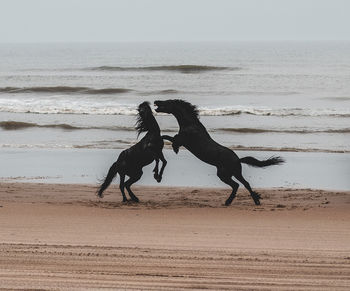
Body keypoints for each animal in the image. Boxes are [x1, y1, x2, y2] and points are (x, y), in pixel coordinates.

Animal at [155, 99, 284, 206]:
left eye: (167, 102)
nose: (156, 101)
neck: (190, 124)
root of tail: (238, 159)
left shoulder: (182, 140)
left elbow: (167, 137)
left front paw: (174, 149)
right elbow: (167, 137)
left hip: (225, 174)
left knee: (238, 185)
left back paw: (232, 201)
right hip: (234, 173)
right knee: (243, 184)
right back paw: (251, 201)